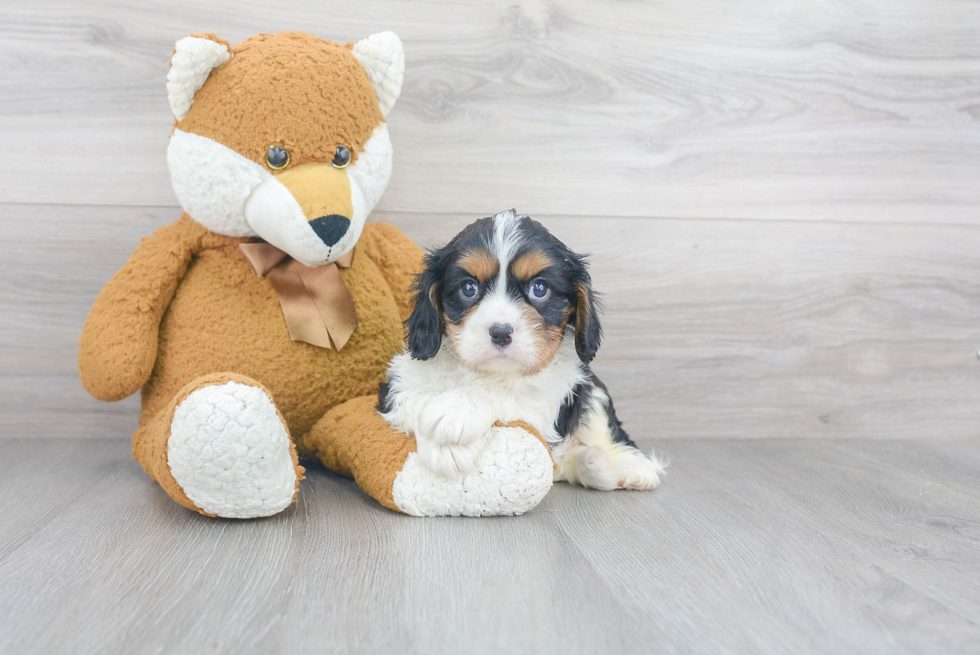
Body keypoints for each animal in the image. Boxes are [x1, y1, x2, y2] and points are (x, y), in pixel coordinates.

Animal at [378, 210, 664, 492]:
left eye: (539, 289)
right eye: (468, 288)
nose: (500, 332)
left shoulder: (547, 400)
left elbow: (506, 394)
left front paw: (455, 412)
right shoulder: (396, 388)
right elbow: (415, 399)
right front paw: (446, 448)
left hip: (592, 390)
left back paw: (627, 466)